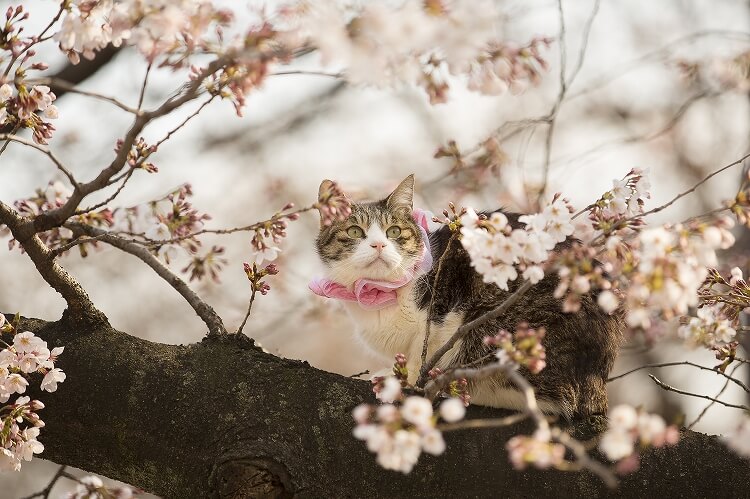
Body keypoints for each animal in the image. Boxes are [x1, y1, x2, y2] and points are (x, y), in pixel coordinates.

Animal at [312, 174, 624, 420]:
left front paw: (405, 383)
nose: (378, 244)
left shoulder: (440, 312)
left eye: (394, 231)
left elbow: (421, 355)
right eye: (355, 231)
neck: (380, 294)